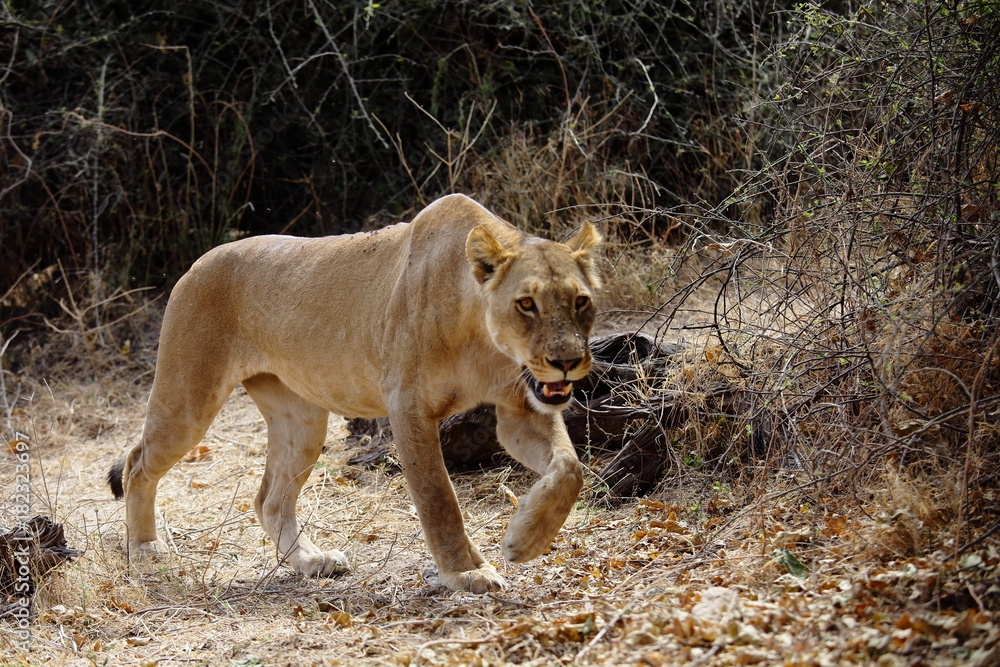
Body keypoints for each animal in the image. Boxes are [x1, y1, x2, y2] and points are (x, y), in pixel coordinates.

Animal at [108, 193, 601, 593]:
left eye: (581, 301)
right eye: (526, 304)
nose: (567, 360)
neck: (483, 338)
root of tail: (196, 263)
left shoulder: (520, 408)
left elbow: (569, 468)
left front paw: (525, 540)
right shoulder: (407, 406)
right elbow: (438, 499)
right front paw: (466, 572)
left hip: (301, 421)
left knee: (269, 499)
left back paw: (312, 561)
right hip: (189, 399)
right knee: (137, 463)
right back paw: (145, 549)